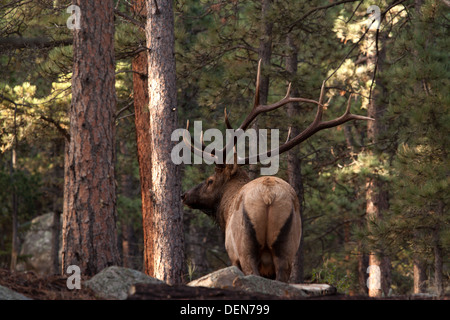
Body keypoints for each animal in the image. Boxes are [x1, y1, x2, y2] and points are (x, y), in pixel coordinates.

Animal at [180, 58, 372, 282]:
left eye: (210, 180)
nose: (184, 195)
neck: (225, 209)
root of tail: (268, 196)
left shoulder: (233, 254)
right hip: (287, 249)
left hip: (246, 249)